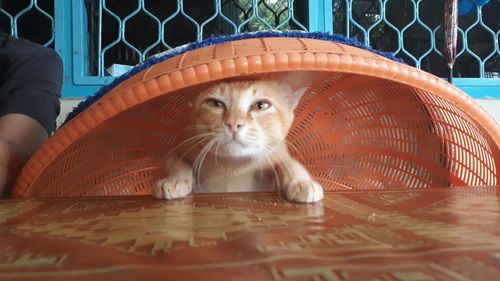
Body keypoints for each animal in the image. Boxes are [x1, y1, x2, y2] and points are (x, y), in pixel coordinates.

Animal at [153, 72, 324, 202]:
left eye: (261, 105)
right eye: (215, 103)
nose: (234, 124)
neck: (234, 167)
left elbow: (289, 162)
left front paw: (302, 182)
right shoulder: (181, 147)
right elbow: (176, 161)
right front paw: (175, 180)